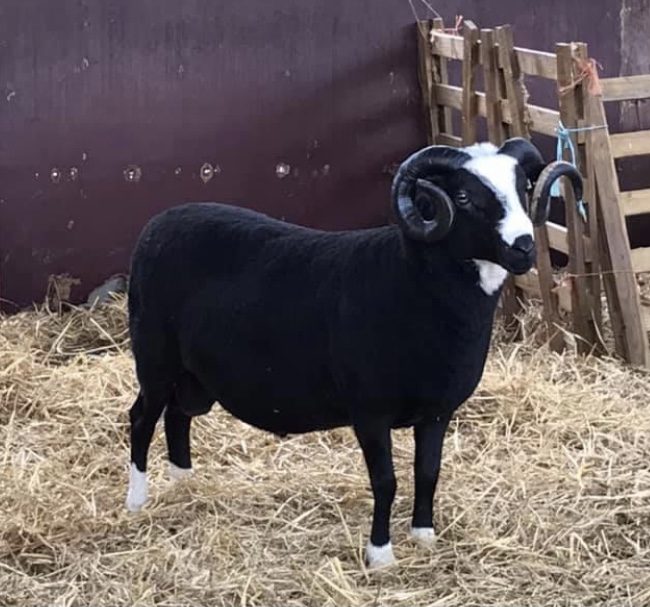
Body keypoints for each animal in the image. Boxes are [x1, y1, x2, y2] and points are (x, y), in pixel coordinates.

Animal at [124, 137, 582, 568]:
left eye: (524, 187)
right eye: (466, 197)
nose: (523, 247)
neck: (413, 282)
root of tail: (157, 223)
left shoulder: (437, 410)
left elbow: (428, 471)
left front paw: (424, 536)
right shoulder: (370, 412)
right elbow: (386, 481)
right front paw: (380, 555)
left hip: (194, 377)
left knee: (178, 415)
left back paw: (185, 485)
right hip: (155, 356)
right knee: (142, 417)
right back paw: (137, 501)